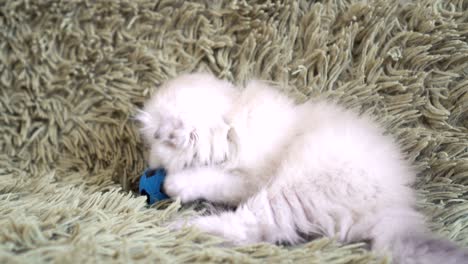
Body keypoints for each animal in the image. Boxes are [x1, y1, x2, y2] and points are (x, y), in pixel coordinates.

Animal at [137, 72, 466, 264]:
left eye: (154, 143)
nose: (149, 166)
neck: (233, 122)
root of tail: (393, 209)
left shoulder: (247, 179)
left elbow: (208, 178)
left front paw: (174, 184)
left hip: (293, 188)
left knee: (250, 228)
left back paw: (181, 227)